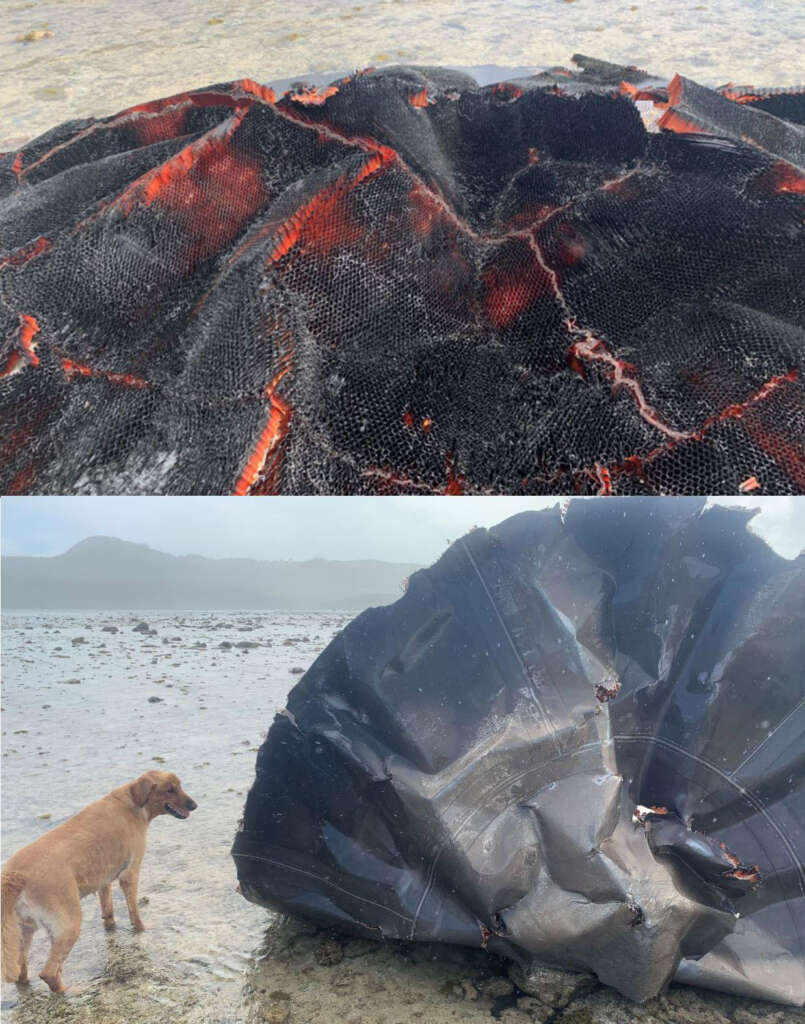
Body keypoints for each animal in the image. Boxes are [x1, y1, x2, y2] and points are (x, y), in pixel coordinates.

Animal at [1, 770, 195, 987]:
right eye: (170, 789)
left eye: (179, 786)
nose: (195, 805)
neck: (133, 802)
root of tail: (16, 875)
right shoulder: (130, 873)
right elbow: (134, 912)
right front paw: (142, 929)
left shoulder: (104, 879)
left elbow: (108, 910)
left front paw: (111, 926)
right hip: (68, 924)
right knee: (48, 973)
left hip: (24, 930)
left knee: (21, 970)